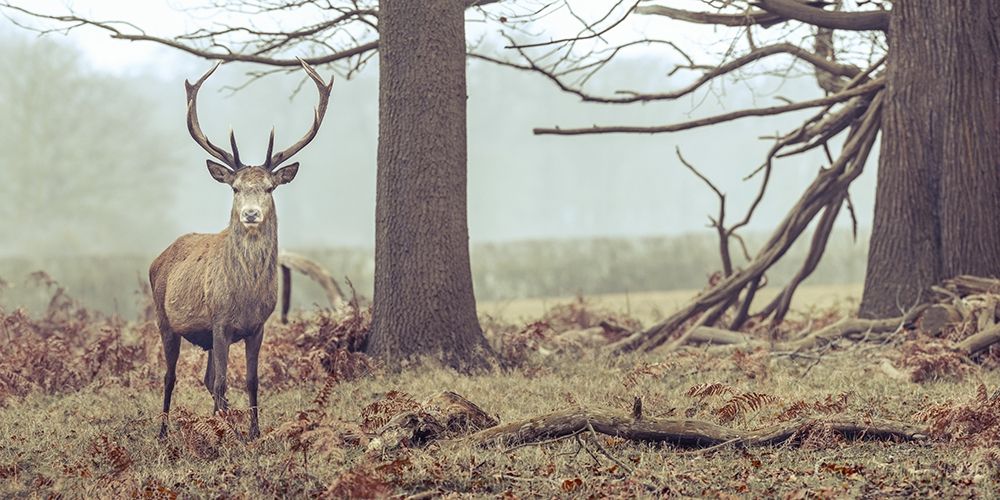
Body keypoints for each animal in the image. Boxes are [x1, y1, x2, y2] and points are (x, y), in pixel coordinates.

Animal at [150, 60, 333, 440]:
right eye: (235, 188)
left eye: (269, 188)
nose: (250, 214)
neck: (245, 295)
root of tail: (159, 258)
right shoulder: (220, 321)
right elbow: (222, 381)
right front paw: (223, 436)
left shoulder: (258, 325)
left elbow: (250, 380)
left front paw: (253, 432)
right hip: (164, 318)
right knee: (171, 376)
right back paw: (163, 431)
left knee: (206, 378)